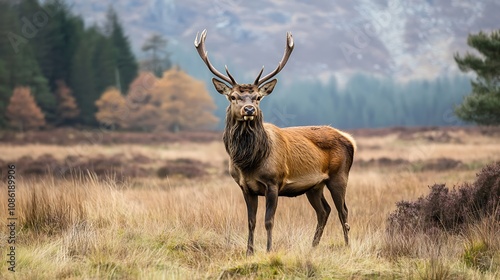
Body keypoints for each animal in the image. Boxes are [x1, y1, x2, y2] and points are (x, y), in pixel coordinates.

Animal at [194, 29, 356, 255]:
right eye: (233, 97)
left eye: (258, 97)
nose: (249, 109)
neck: (250, 162)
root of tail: (349, 139)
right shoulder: (245, 187)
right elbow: (251, 222)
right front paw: (249, 252)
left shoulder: (273, 183)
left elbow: (268, 221)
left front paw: (269, 250)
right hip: (314, 186)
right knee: (324, 211)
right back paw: (312, 247)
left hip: (339, 176)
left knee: (344, 212)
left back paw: (347, 246)